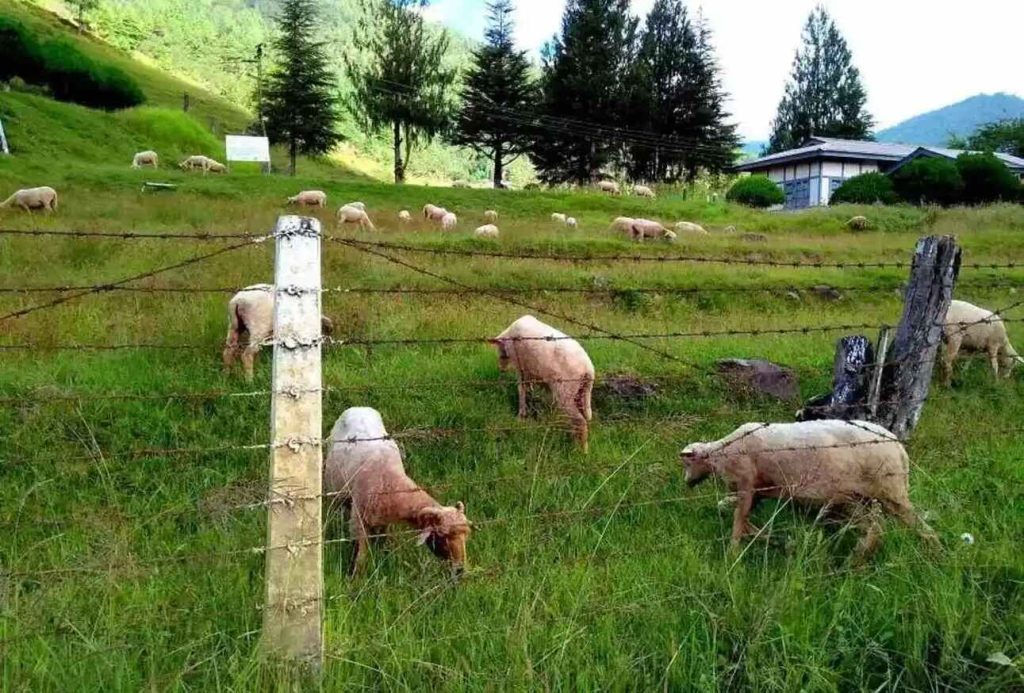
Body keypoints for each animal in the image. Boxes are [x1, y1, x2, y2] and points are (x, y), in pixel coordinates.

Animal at [325, 403, 473, 577]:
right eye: (442, 535)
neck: (391, 483)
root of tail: (358, 407)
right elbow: (361, 556)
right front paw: (356, 577)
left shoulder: (384, 520)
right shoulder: (359, 520)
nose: (460, 570)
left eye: (466, 535)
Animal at [491, 315, 598, 454]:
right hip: (581, 390)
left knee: (580, 421)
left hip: (565, 391)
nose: (501, 369)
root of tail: (588, 369)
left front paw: (521, 416)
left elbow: (521, 389)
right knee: (585, 416)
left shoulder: (521, 366)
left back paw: (581, 451)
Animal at [684, 415, 937, 556]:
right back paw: (856, 561)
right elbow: (740, 518)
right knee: (876, 530)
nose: (686, 483)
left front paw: (733, 553)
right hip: (857, 498)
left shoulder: (747, 484)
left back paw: (936, 553)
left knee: (918, 526)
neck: (721, 453)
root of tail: (899, 448)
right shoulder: (759, 491)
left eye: (686, 463)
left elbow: (738, 521)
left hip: (890, 491)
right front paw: (777, 541)